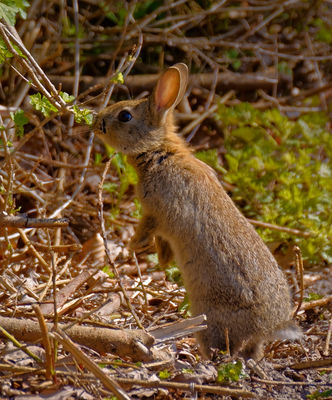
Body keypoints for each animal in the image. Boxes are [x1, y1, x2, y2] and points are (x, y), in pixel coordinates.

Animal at [93, 64, 300, 360]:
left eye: (125, 115)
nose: (96, 120)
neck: (160, 152)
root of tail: (269, 326)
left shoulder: (156, 212)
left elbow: (147, 230)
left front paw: (132, 247)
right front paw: (162, 259)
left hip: (209, 319)